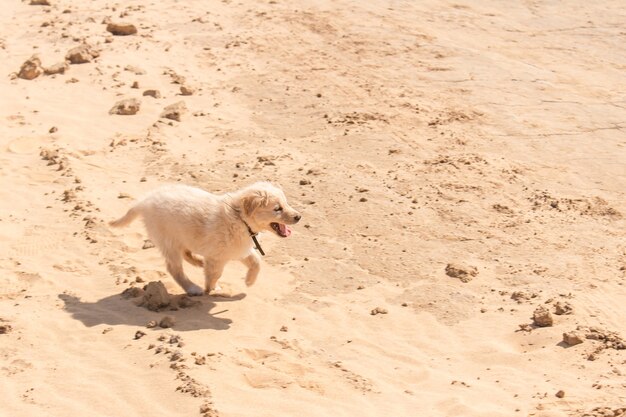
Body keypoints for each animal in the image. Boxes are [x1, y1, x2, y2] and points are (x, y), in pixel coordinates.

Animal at [109, 183, 300, 296]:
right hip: (168, 240)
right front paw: (212, 288)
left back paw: (199, 262)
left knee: (186, 253)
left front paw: (249, 281)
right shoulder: (218, 257)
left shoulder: (239, 249)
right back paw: (192, 288)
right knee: (174, 268)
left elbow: (256, 261)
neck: (239, 217)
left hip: (181, 237)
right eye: (277, 209)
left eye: (286, 203)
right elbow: (215, 274)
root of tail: (145, 201)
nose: (298, 217)